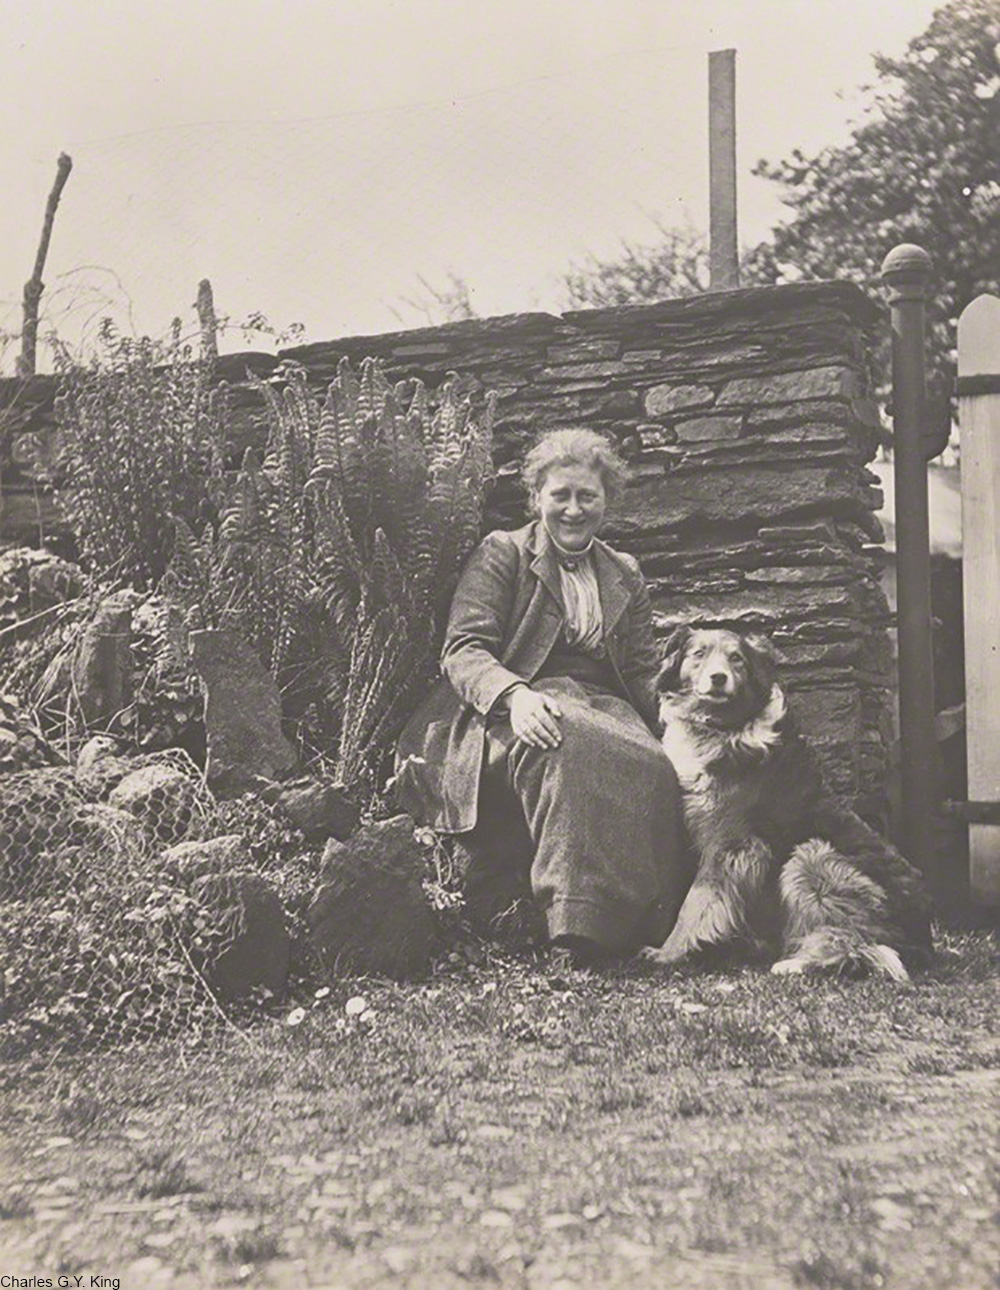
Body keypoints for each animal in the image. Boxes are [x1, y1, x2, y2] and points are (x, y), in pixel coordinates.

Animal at [645, 626, 934, 975]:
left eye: (736, 658)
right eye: (698, 654)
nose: (718, 677)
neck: (724, 726)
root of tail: (923, 942)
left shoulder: (731, 844)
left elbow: (695, 901)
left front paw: (668, 952)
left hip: (812, 855)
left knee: (857, 944)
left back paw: (796, 963)